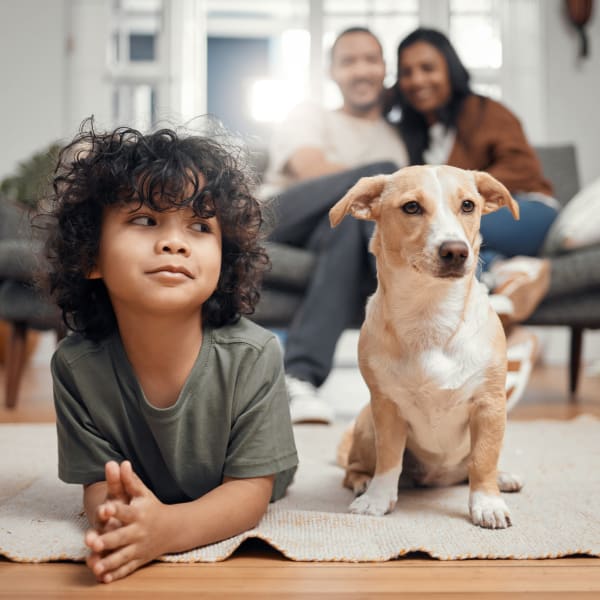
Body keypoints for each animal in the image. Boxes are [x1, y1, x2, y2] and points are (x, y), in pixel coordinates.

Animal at [330, 166, 524, 528]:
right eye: (411, 207)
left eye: (468, 205)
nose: (456, 251)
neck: (430, 314)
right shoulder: (386, 408)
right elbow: (389, 460)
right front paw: (378, 499)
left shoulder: (490, 406)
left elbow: (483, 459)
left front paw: (487, 502)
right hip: (366, 425)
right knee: (353, 468)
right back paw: (363, 482)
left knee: (474, 466)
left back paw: (503, 477)